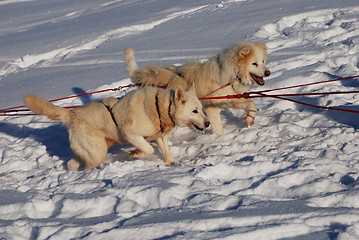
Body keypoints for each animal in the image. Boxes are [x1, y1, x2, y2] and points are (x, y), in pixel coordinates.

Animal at [24, 86, 208, 171]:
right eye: (194, 111)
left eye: (201, 109)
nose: (208, 124)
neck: (159, 108)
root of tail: (73, 114)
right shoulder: (130, 133)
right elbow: (148, 149)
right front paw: (136, 153)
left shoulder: (159, 136)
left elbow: (165, 150)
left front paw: (170, 163)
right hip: (98, 151)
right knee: (87, 165)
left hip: (93, 149)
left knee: (71, 163)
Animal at [125, 41, 272, 135]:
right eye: (254, 63)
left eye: (263, 61)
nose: (268, 72)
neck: (229, 76)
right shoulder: (212, 109)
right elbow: (218, 128)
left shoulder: (230, 99)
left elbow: (251, 104)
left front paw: (249, 119)